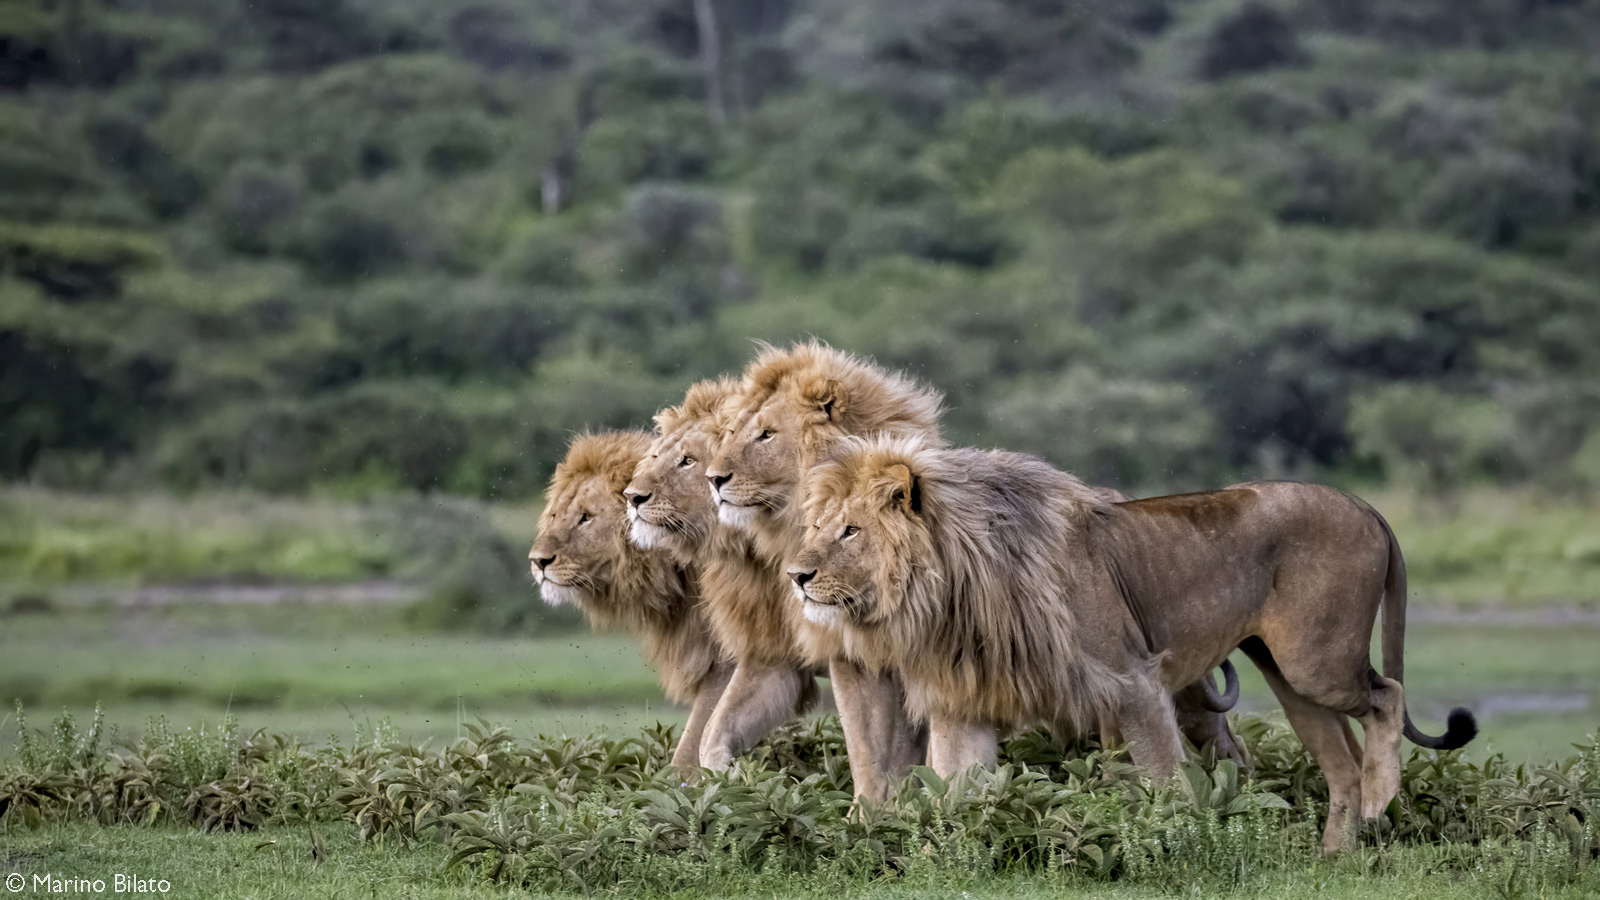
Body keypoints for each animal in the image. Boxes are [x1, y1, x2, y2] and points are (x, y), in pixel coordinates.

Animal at [793, 435, 1478, 851]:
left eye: (850, 532)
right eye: (817, 527)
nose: (796, 574)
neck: (955, 585)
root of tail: (1365, 505)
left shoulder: (1131, 677)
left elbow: (1163, 775)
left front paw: (1180, 842)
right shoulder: (966, 702)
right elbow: (957, 787)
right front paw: (949, 847)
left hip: (1316, 659)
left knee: (1388, 696)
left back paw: (1380, 801)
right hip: (1290, 675)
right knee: (1340, 763)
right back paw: (1334, 855)